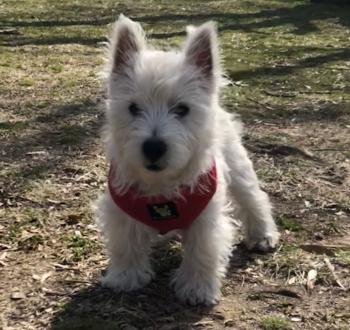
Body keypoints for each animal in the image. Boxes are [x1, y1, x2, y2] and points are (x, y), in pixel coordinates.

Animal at [94, 14, 280, 304]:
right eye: (133, 108)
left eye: (182, 109)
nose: (154, 147)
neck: (161, 186)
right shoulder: (120, 210)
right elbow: (125, 244)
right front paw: (125, 277)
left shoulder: (206, 220)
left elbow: (202, 251)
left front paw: (196, 288)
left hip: (239, 168)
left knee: (254, 199)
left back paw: (263, 235)